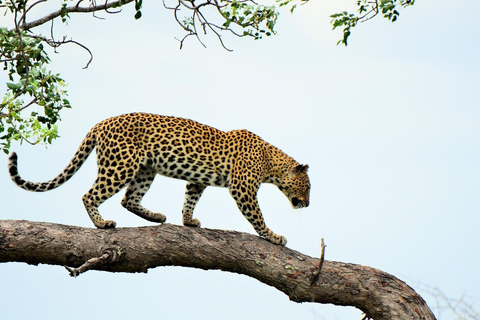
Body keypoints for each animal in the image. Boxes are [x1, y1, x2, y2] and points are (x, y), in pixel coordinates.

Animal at [8, 112, 312, 245]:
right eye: (308, 187)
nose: (308, 204)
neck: (271, 163)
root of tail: (101, 123)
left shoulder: (198, 180)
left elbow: (190, 198)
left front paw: (188, 221)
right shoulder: (243, 188)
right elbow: (257, 216)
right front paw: (273, 236)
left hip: (145, 170)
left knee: (129, 199)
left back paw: (155, 216)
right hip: (120, 166)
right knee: (90, 195)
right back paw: (102, 223)